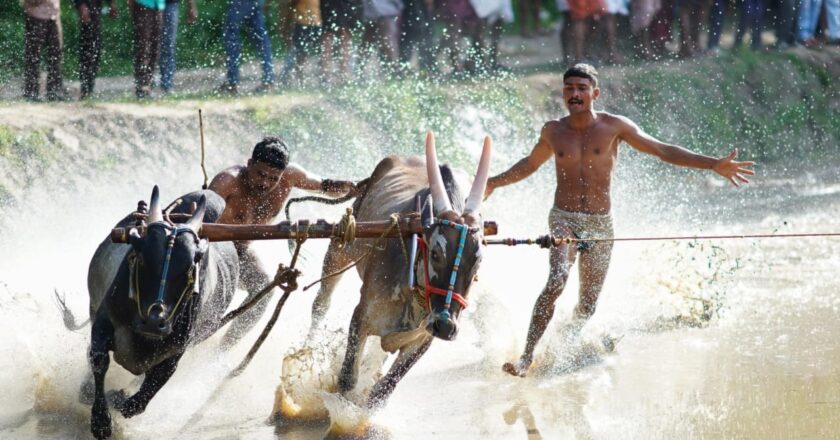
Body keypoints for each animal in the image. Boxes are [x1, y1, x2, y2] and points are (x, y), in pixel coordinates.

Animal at [76, 187, 240, 438]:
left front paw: (121, 400)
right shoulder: (103, 321)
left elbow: (145, 395)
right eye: (142, 258)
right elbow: (98, 361)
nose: (154, 322)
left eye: (189, 268)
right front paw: (100, 421)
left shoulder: (177, 350)